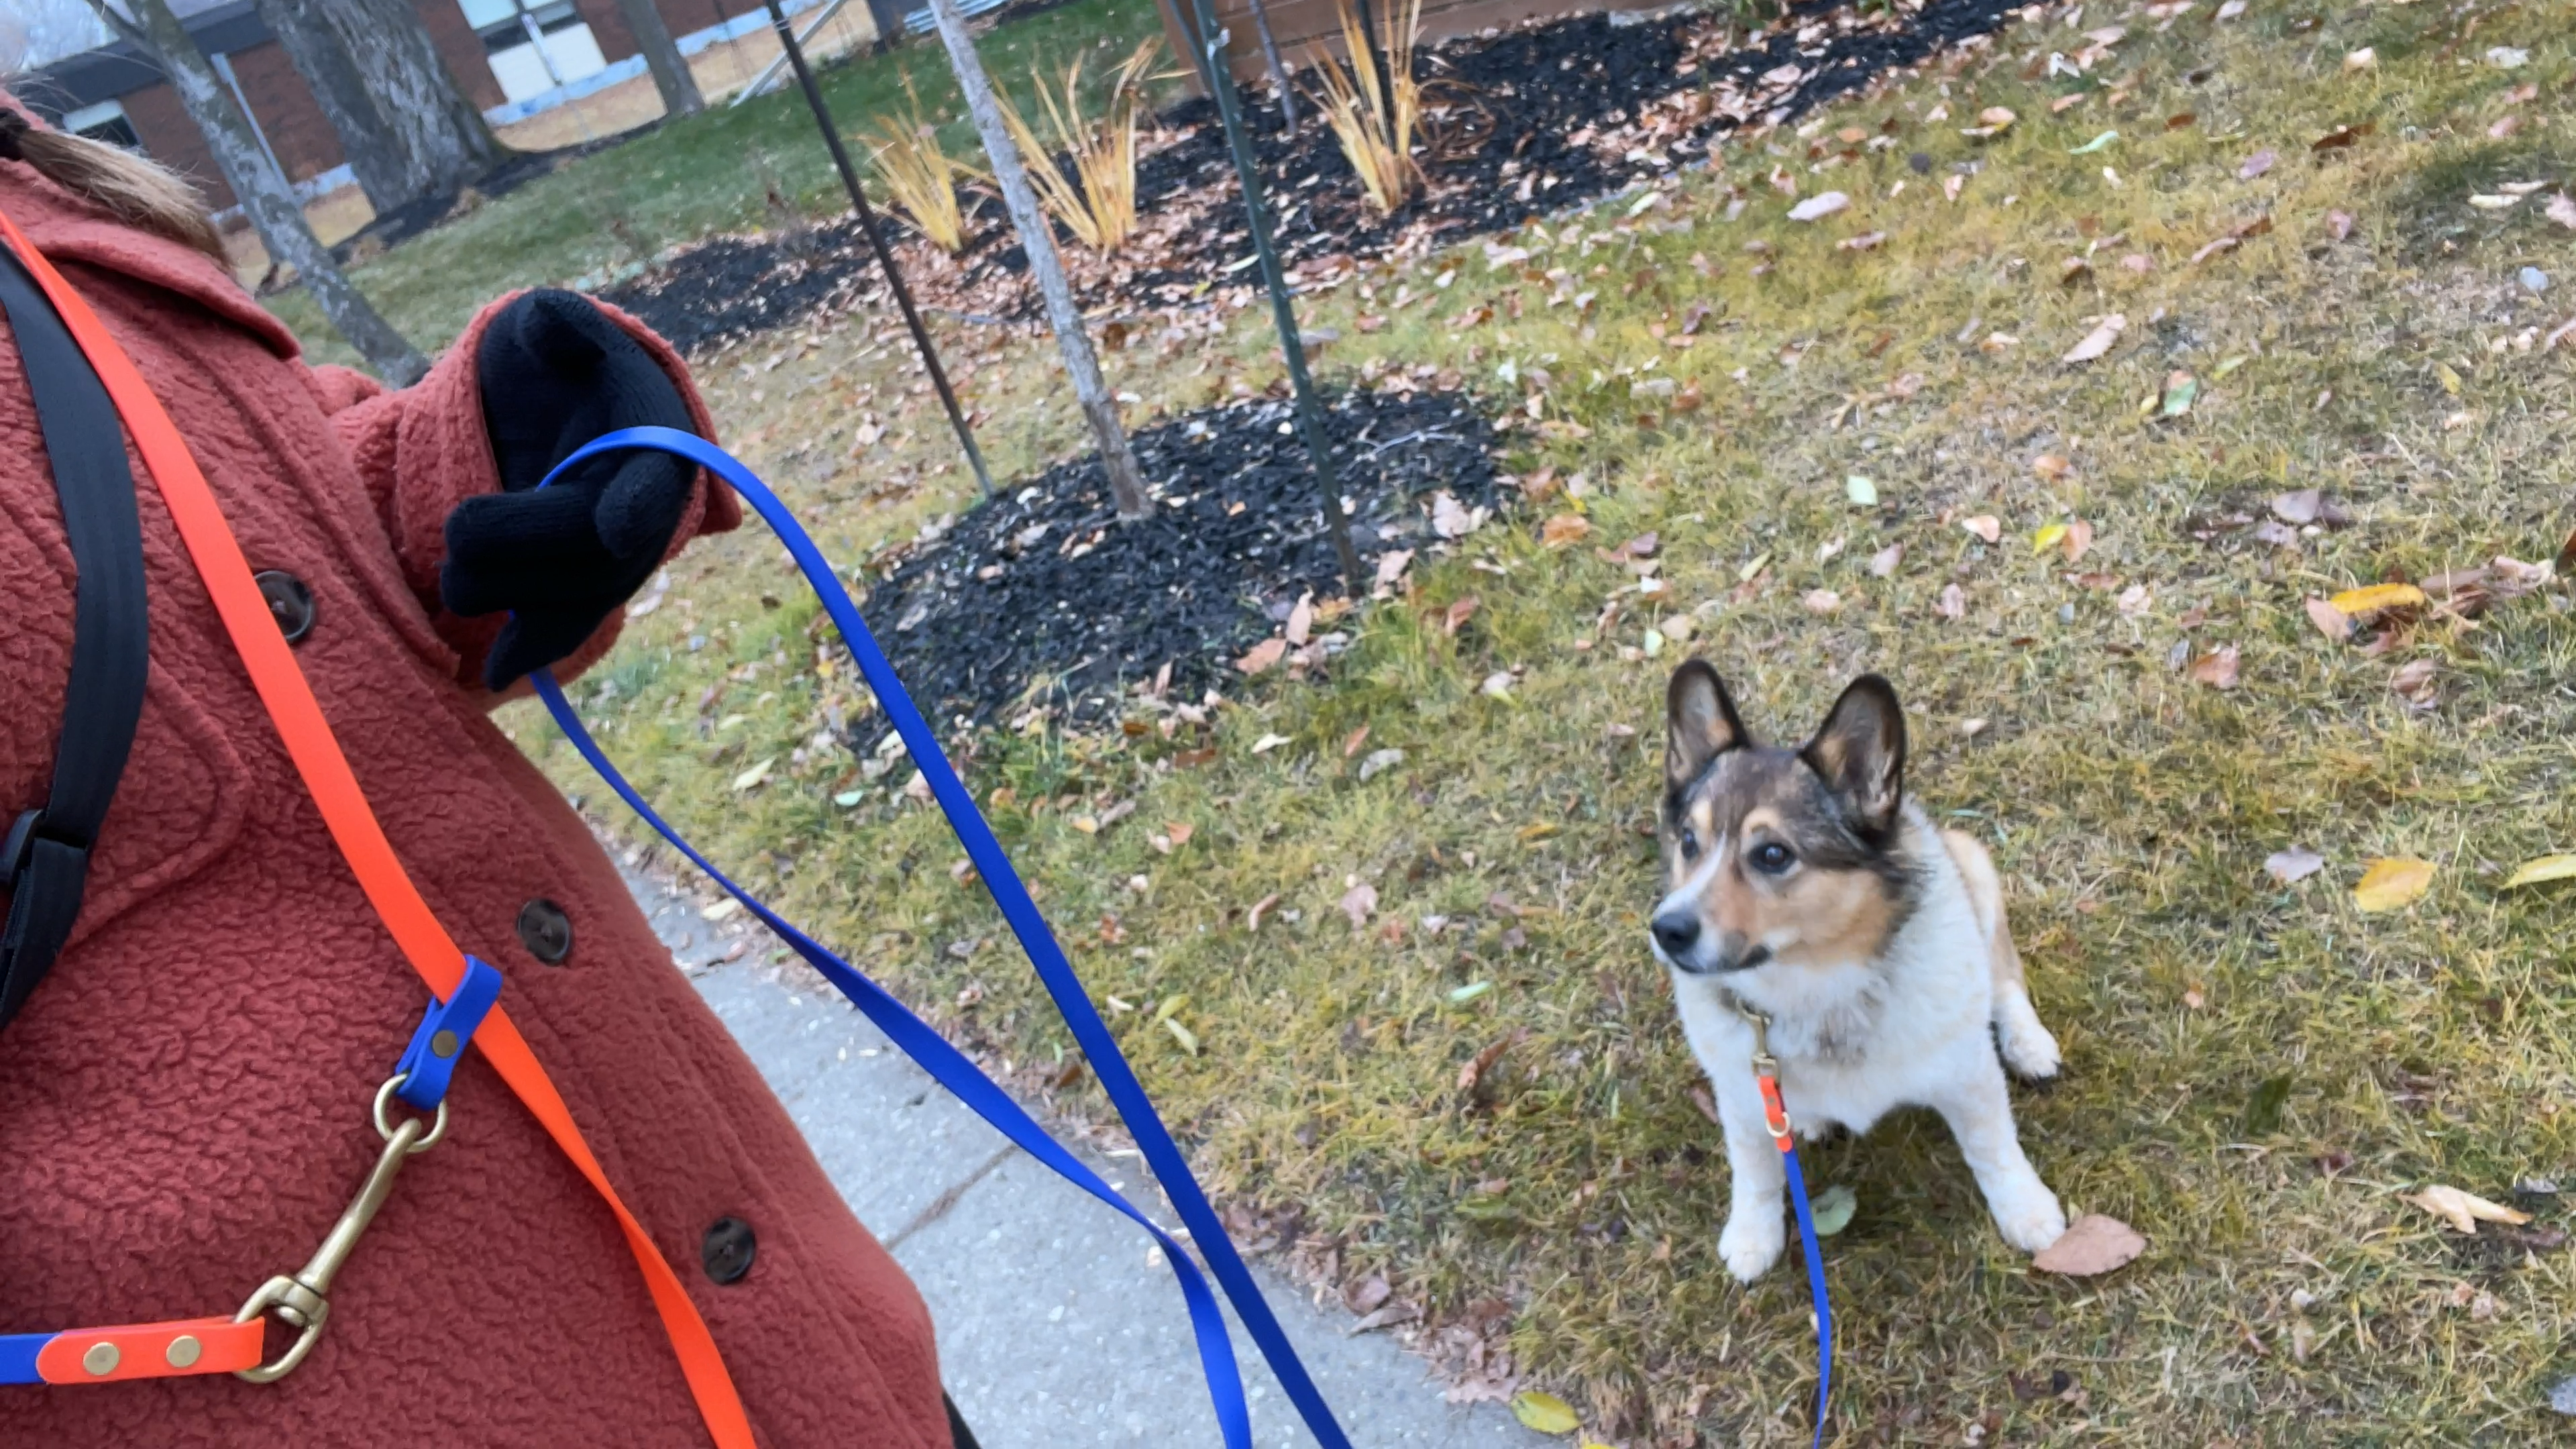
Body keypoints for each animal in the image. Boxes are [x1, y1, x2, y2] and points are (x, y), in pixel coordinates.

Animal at [1648, 657, 2071, 1273]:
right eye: (1687, 840)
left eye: (1773, 854)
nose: (1667, 930)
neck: (1817, 986)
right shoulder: (1742, 1093)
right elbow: (1754, 1168)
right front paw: (1752, 1235)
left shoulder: (1968, 1074)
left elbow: (1993, 1145)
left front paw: (2026, 1209)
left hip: (1974, 868)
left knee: (2003, 977)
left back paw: (2028, 1043)